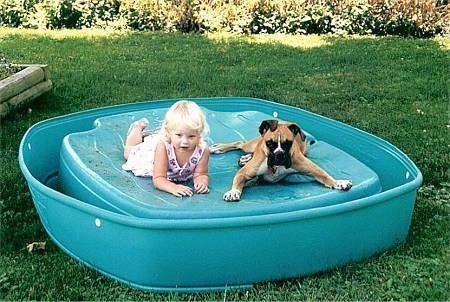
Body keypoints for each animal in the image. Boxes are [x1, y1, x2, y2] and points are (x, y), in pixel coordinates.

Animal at [209, 119, 354, 202]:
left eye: (288, 143)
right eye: (269, 143)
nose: (279, 155)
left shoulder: (311, 168)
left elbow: (325, 175)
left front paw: (339, 182)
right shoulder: (243, 173)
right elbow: (238, 181)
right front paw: (233, 192)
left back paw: (245, 158)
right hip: (250, 145)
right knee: (240, 143)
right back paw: (219, 148)